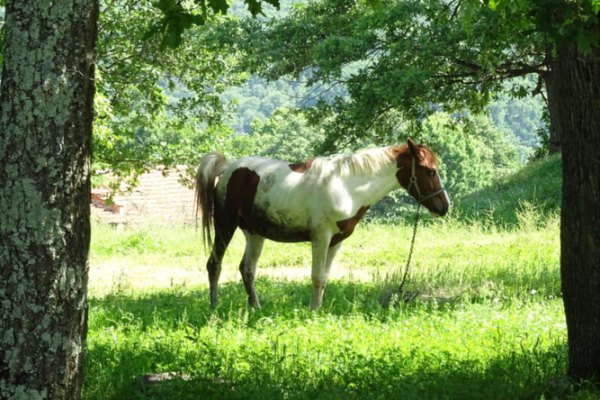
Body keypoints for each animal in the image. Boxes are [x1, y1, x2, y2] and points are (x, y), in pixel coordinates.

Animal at [197, 138, 450, 310]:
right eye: (430, 171)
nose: (444, 207)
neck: (346, 185)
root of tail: (229, 168)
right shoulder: (321, 237)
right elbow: (317, 276)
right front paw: (312, 311)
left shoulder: (336, 241)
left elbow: (325, 278)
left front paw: (318, 311)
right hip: (225, 225)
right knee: (214, 264)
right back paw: (214, 307)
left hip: (254, 233)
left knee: (247, 269)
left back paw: (256, 308)